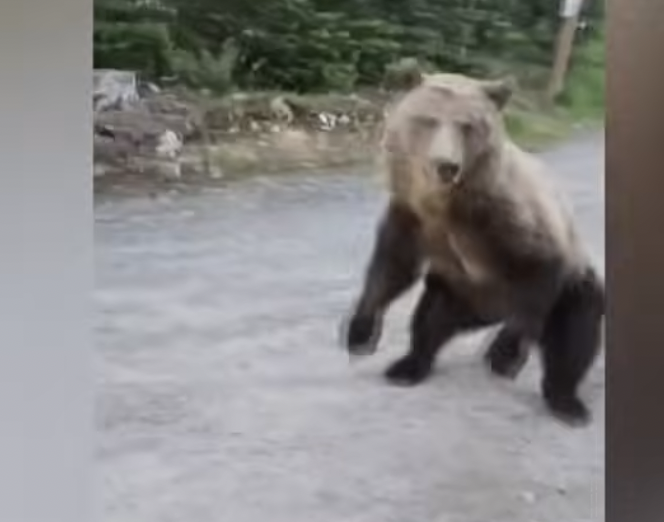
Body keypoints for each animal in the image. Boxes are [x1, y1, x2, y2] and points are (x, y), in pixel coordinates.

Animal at [341, 71, 605, 426]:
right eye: (428, 120)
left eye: (467, 126)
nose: (446, 165)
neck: (448, 205)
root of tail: (489, 313)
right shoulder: (412, 216)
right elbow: (393, 266)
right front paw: (360, 331)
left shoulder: (508, 216)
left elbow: (540, 266)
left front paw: (504, 353)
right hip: (457, 290)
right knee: (430, 320)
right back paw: (408, 366)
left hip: (567, 292)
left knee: (575, 333)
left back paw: (566, 401)